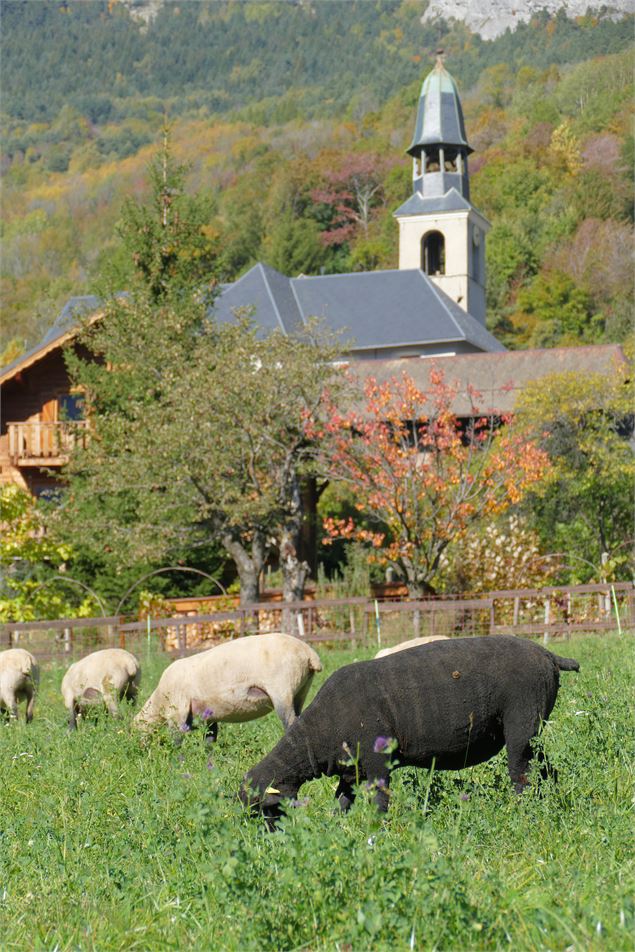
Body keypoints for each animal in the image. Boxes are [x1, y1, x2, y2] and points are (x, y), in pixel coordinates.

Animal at [135, 632, 322, 744]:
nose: (139, 750)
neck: (159, 701)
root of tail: (309, 653)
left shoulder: (177, 712)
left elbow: (177, 739)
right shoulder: (209, 716)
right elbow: (210, 737)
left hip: (282, 690)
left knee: (290, 722)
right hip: (301, 691)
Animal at [241, 632, 580, 824]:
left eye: (262, 809)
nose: (267, 840)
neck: (315, 736)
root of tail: (548, 655)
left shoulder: (378, 763)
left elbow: (379, 801)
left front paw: (377, 829)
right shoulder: (351, 771)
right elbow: (343, 802)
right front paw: (337, 828)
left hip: (521, 726)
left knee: (521, 773)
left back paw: (522, 811)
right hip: (534, 731)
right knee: (546, 768)